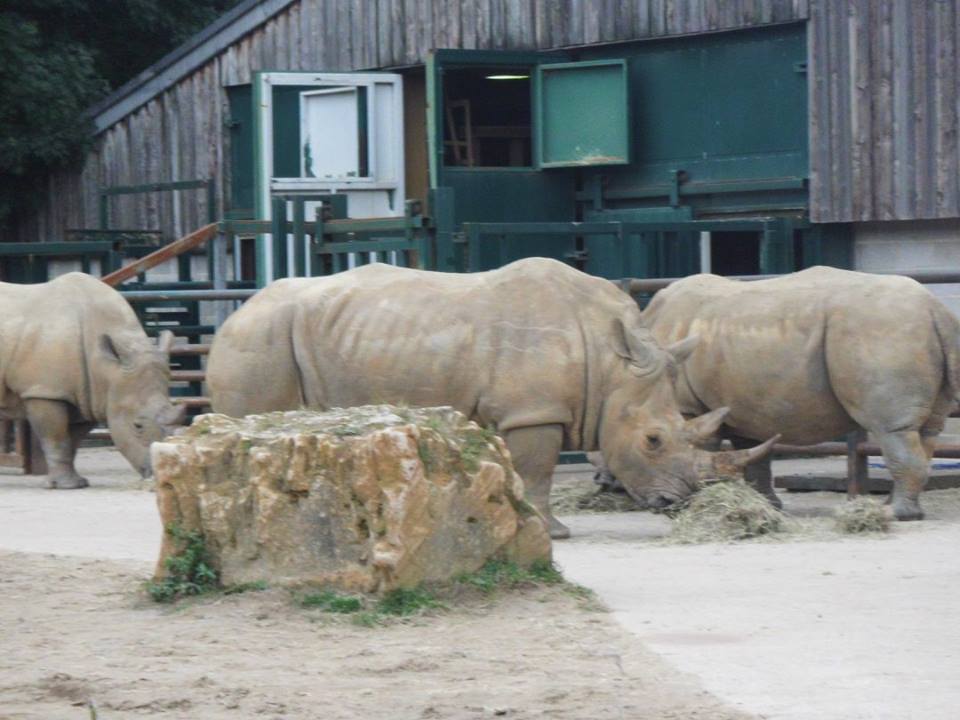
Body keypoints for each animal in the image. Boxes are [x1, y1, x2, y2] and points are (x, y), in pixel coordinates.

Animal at [0, 273, 186, 487]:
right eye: (137, 426)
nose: (159, 474)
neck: (106, 367)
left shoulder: (88, 397)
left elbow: (72, 440)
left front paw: (75, 482)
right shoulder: (44, 391)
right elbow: (56, 438)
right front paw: (66, 486)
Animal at [206, 258, 774, 538]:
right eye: (654, 440)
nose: (677, 502)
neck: (612, 363)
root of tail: (232, 315)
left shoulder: (515, 410)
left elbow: (516, 472)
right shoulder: (534, 413)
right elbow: (539, 472)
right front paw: (553, 533)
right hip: (259, 339)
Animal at [640, 266, 960, 520]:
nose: (663, 502)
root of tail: (936, 309)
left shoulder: (689, 407)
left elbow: (698, 448)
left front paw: (694, 507)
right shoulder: (742, 403)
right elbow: (755, 454)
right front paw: (766, 506)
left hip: (880, 332)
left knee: (891, 429)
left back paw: (894, 513)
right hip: (899, 332)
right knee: (926, 431)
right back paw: (892, 508)